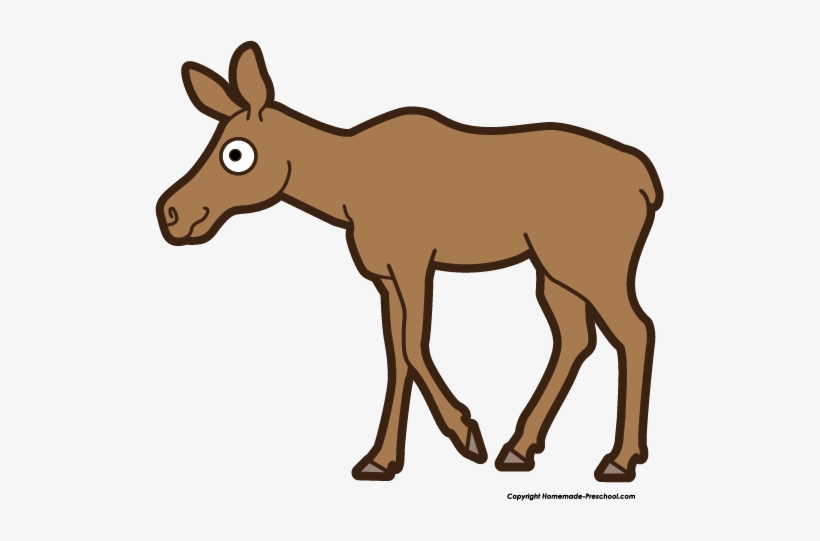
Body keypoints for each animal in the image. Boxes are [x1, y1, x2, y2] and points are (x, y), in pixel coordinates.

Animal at [156, 42, 663, 482]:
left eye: (236, 153)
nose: (173, 213)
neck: (343, 191)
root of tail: (647, 181)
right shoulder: (384, 277)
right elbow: (396, 355)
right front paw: (380, 460)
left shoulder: (414, 262)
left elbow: (414, 346)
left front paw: (466, 434)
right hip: (554, 272)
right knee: (577, 338)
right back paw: (521, 448)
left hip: (593, 267)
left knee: (636, 330)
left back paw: (618, 460)